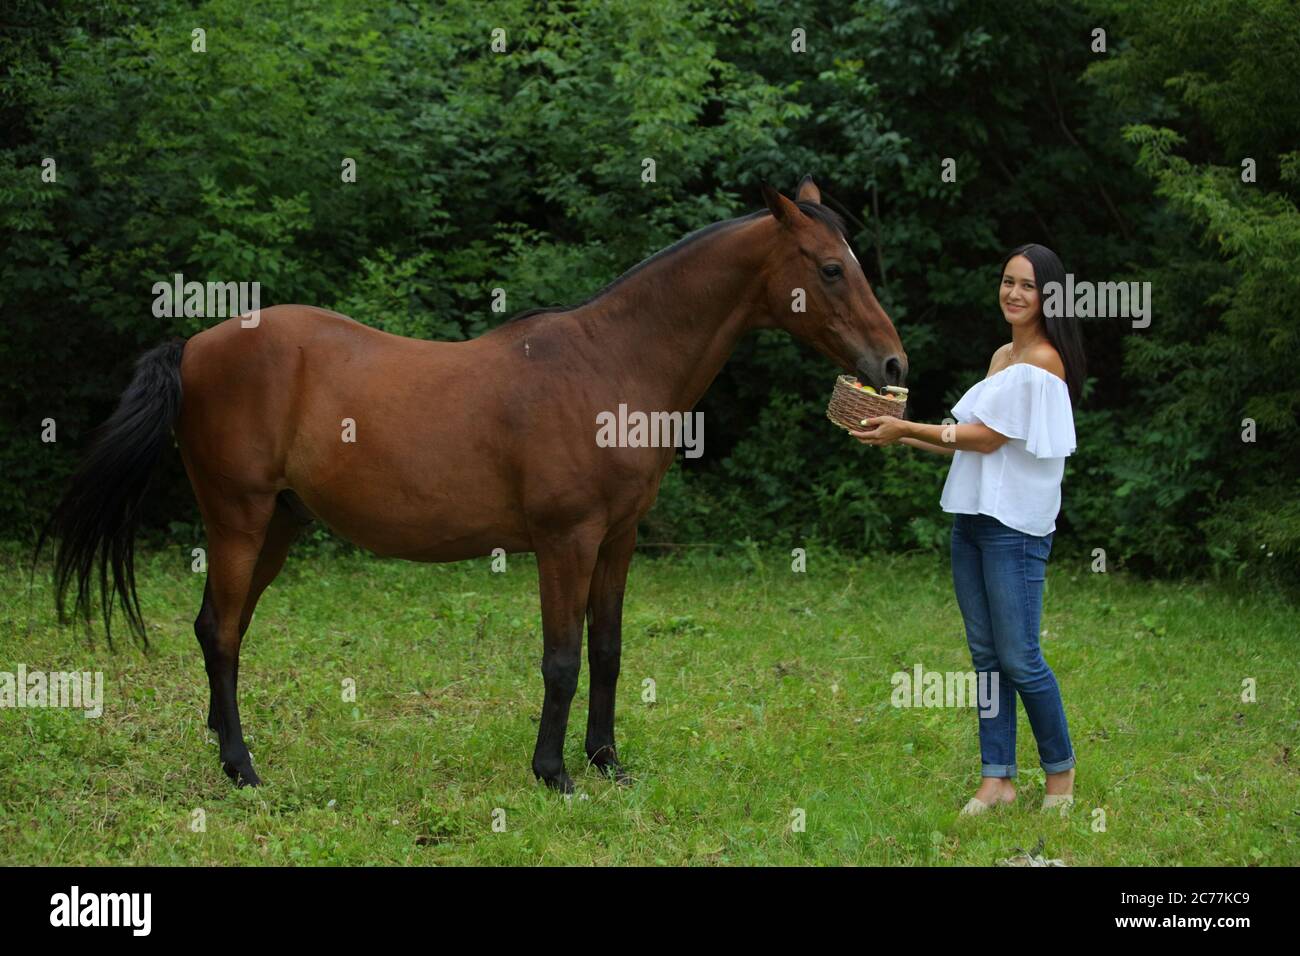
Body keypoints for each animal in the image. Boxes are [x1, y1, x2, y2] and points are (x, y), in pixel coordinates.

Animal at [45, 178, 909, 790]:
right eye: (831, 268)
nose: (893, 363)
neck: (610, 365)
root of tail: (194, 347)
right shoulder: (565, 542)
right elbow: (561, 658)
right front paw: (553, 773)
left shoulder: (618, 540)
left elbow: (608, 650)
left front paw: (606, 761)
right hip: (238, 518)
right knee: (222, 633)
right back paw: (243, 768)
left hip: (278, 525)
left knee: (217, 629)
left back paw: (224, 750)